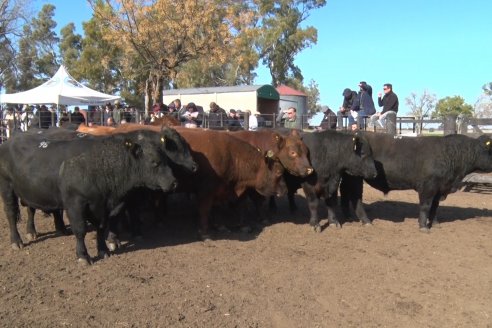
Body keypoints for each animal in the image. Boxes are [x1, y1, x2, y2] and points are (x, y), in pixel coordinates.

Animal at [0, 128, 177, 264]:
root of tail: (9, 140)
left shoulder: (103, 206)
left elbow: (101, 227)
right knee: (11, 214)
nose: (174, 182)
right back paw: (17, 241)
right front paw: (83, 256)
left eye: (167, 159)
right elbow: (80, 230)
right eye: (155, 162)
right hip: (7, 188)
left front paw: (103, 250)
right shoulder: (75, 203)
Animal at [338, 133, 492, 231]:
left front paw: (435, 223)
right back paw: (366, 221)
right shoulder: (428, 186)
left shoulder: (439, 188)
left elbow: (435, 207)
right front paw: (423, 226)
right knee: (356, 197)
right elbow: (425, 206)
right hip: (356, 177)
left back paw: (348, 215)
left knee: (345, 193)